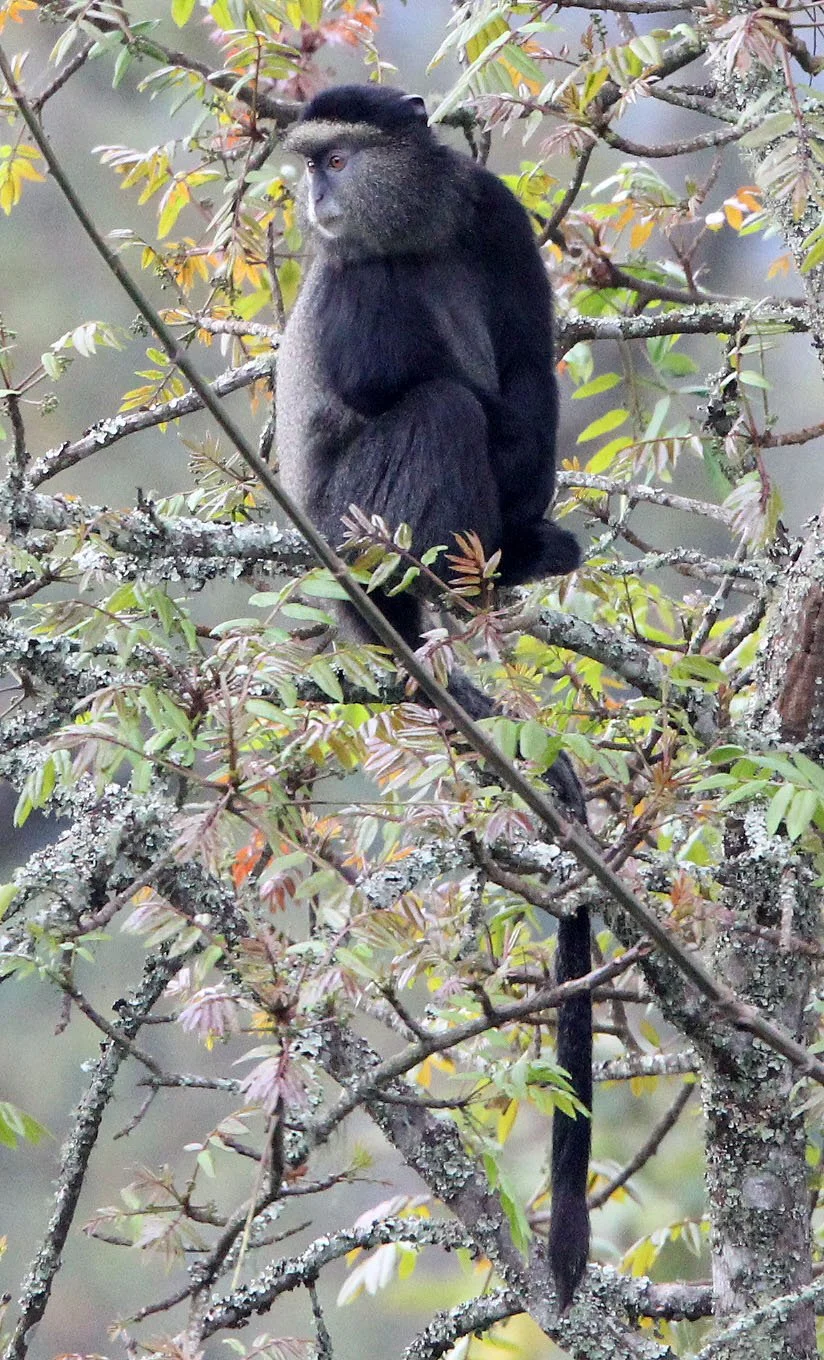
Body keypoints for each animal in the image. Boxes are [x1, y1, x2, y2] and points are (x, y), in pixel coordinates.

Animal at [275, 84, 591, 1308]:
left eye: (340, 158)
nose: (314, 199)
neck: (407, 233)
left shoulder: (491, 215)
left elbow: (530, 370)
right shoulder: (351, 278)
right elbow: (389, 386)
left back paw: (514, 558)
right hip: (349, 532)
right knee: (437, 409)